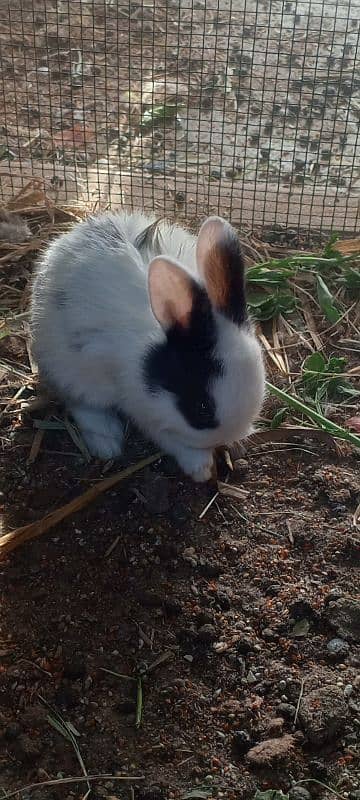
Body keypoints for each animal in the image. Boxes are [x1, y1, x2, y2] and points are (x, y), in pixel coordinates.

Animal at [31, 209, 266, 482]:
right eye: (202, 408)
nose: (225, 439)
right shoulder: (143, 409)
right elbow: (171, 440)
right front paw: (202, 468)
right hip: (71, 372)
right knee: (82, 405)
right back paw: (108, 443)